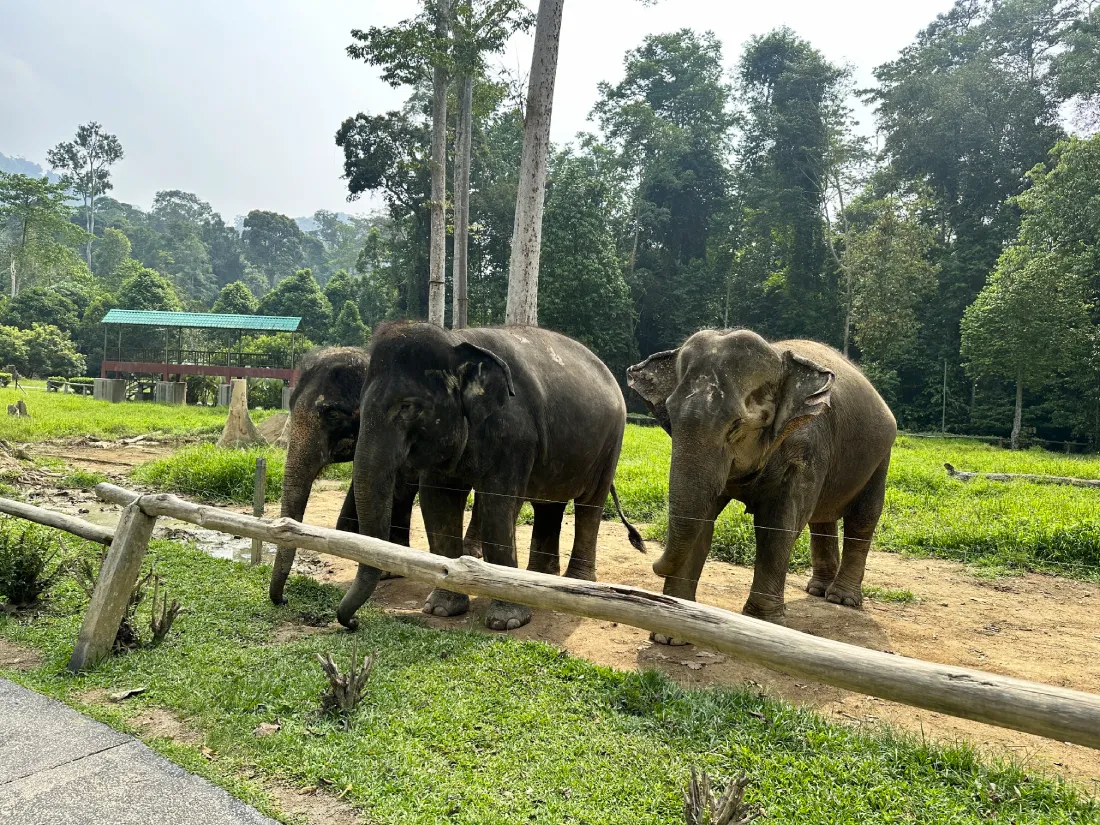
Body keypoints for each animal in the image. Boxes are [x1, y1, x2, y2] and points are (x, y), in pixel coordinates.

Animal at [334, 323, 642, 633]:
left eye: (407, 407)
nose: (354, 622)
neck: (455, 339)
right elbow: (437, 503)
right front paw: (441, 608)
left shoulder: (516, 435)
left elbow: (498, 505)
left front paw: (508, 620)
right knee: (549, 504)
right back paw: (541, 579)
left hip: (611, 443)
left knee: (590, 504)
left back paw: (575, 581)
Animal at [629, 325, 893, 638]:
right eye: (669, 416)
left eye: (736, 425)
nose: (643, 548)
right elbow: (702, 521)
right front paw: (671, 632)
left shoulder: (806, 448)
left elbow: (779, 526)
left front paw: (764, 624)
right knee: (822, 519)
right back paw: (818, 590)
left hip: (881, 455)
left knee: (863, 518)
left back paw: (841, 599)